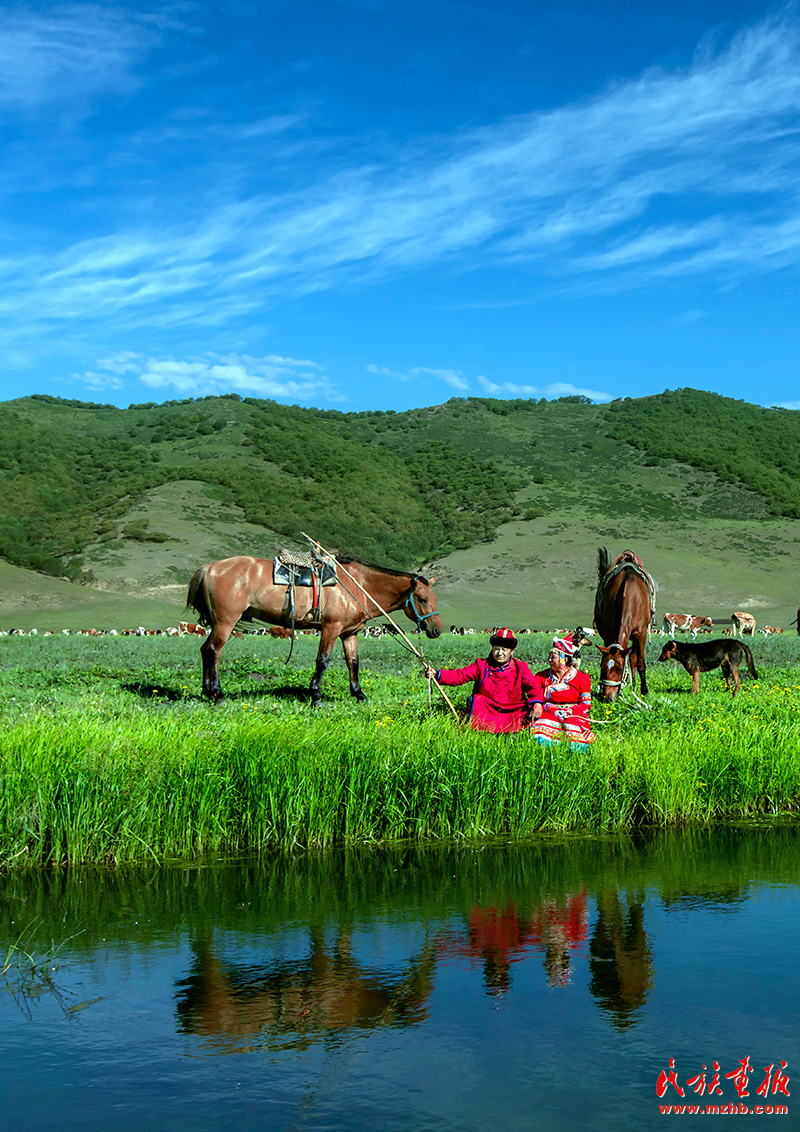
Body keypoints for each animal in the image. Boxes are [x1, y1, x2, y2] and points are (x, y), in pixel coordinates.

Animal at [184, 552, 441, 701]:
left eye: (435, 598)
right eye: (422, 599)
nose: (436, 630)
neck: (359, 587)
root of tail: (210, 567)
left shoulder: (350, 633)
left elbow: (353, 662)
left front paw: (359, 694)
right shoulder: (331, 628)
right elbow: (323, 660)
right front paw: (315, 694)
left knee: (205, 650)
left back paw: (207, 692)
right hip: (225, 622)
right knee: (213, 651)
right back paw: (216, 694)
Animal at [592, 547, 656, 697]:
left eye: (620, 668)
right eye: (602, 667)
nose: (609, 697)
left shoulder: (641, 634)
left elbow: (640, 662)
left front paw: (644, 691)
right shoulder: (609, 633)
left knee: (633, 658)